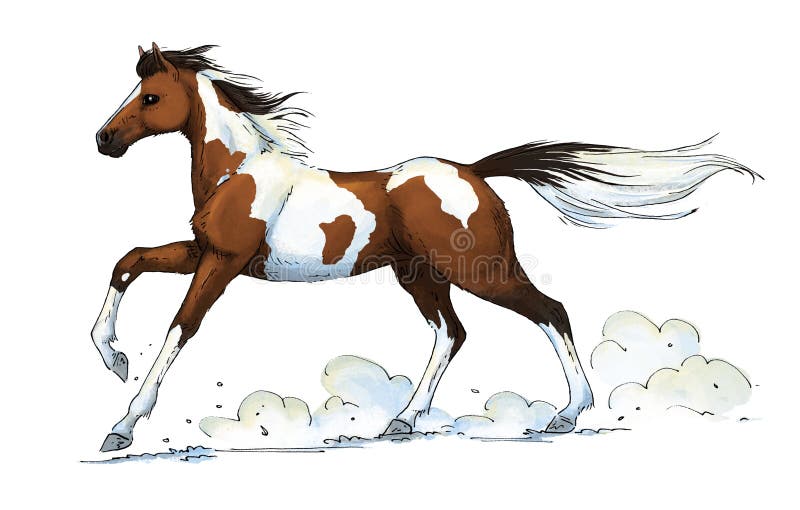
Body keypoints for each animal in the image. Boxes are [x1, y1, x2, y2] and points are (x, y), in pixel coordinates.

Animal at [92, 44, 759, 452]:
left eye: (150, 97)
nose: (104, 140)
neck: (239, 172)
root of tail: (474, 172)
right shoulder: (201, 252)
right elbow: (128, 263)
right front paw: (113, 358)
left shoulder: (223, 264)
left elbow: (180, 327)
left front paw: (122, 425)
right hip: (421, 275)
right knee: (452, 333)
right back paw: (402, 420)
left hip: (478, 270)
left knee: (550, 311)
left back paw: (569, 413)